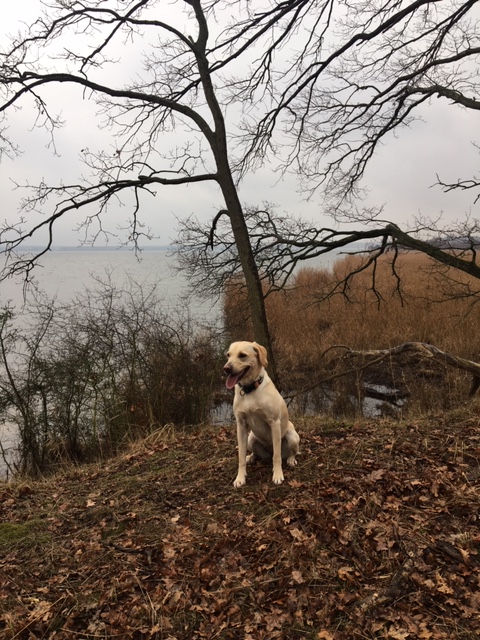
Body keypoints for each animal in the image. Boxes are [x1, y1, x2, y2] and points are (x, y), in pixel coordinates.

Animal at [223, 341, 300, 487]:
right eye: (228, 355)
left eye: (242, 355)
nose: (226, 368)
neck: (250, 390)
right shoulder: (241, 426)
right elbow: (240, 456)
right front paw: (240, 477)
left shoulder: (274, 422)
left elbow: (277, 456)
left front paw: (277, 475)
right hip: (250, 439)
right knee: (255, 453)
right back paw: (251, 457)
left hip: (292, 437)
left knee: (289, 452)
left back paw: (290, 459)